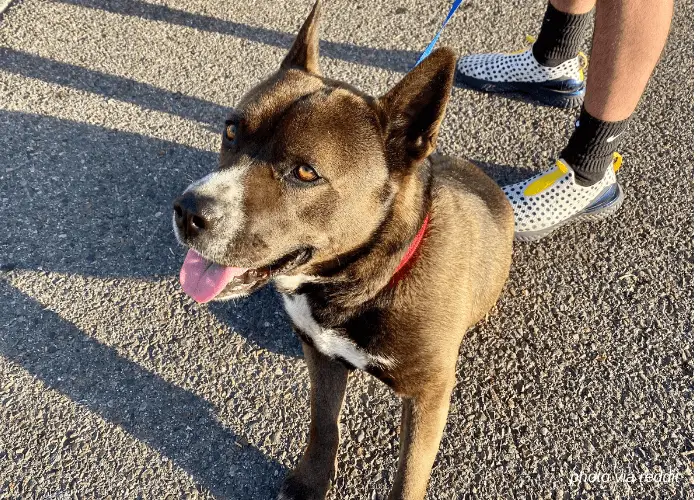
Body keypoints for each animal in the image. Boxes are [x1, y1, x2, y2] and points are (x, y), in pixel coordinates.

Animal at [174, 1, 516, 498]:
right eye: (232, 131)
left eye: (305, 172)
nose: (187, 212)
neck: (366, 280)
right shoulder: (321, 355)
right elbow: (323, 424)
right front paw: (312, 479)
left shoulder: (429, 397)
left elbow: (409, 477)